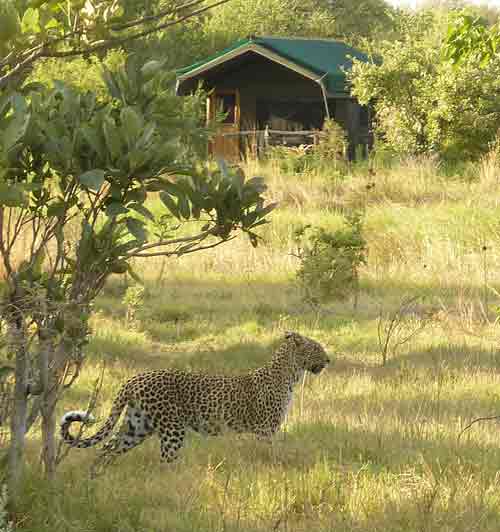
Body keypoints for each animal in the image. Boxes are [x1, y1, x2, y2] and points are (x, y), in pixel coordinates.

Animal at [60, 330, 330, 468]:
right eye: (317, 348)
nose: (328, 360)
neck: (291, 374)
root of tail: (135, 379)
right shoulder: (266, 430)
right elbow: (271, 455)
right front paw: (274, 472)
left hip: (137, 425)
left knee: (106, 449)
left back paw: (95, 481)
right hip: (172, 429)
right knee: (165, 461)